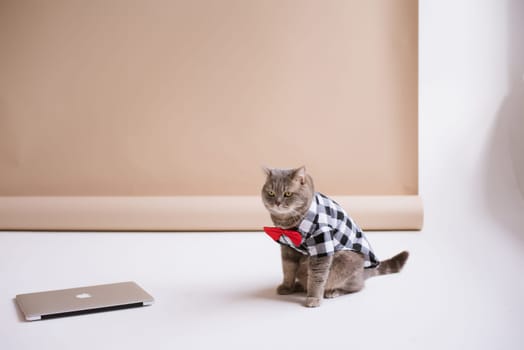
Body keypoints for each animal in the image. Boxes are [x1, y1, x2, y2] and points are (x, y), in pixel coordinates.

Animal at [262, 166, 410, 306]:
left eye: (287, 194)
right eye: (271, 193)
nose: (277, 202)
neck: (289, 224)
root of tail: (364, 272)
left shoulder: (322, 246)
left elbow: (317, 276)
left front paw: (314, 297)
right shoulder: (287, 247)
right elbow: (288, 269)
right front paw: (287, 287)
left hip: (346, 261)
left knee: (356, 287)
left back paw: (333, 291)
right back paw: (300, 286)